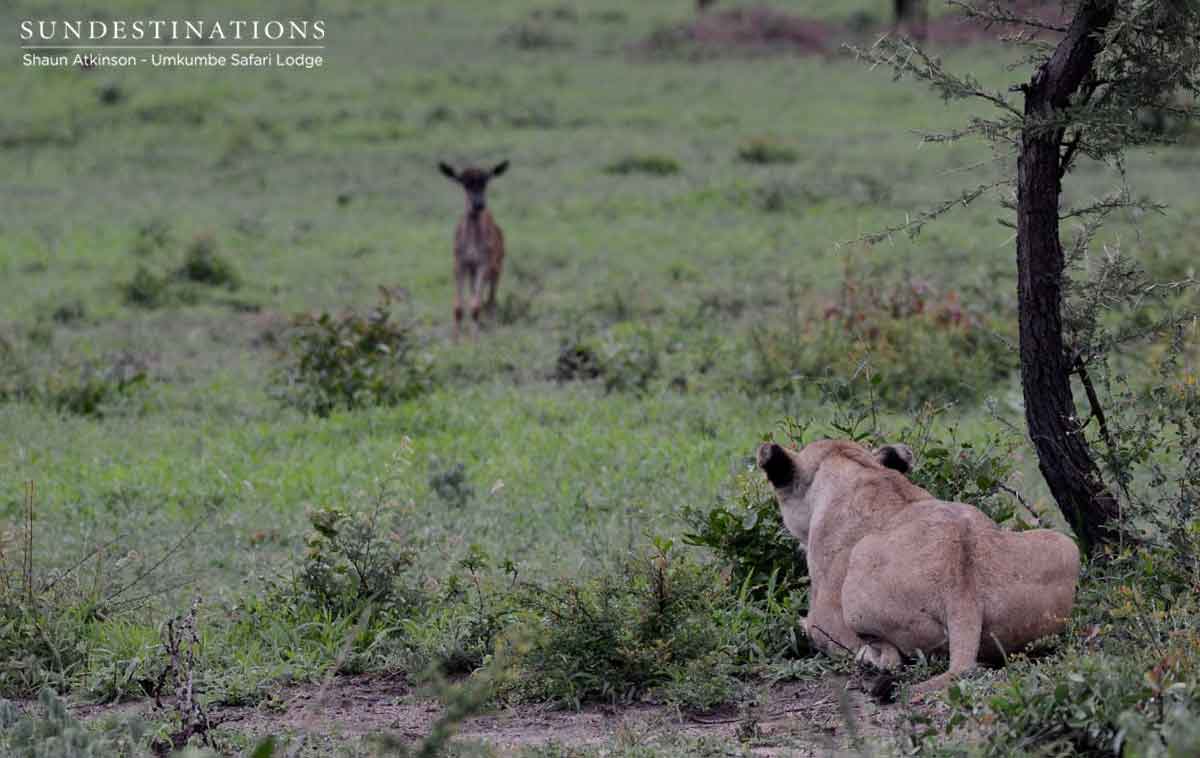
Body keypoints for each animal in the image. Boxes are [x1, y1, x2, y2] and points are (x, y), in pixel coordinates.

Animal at [757, 438, 1080, 694]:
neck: (856, 469)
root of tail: (963, 590)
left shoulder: (825, 620)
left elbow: (805, 625)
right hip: (1063, 544)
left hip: (860, 574)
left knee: (888, 658)